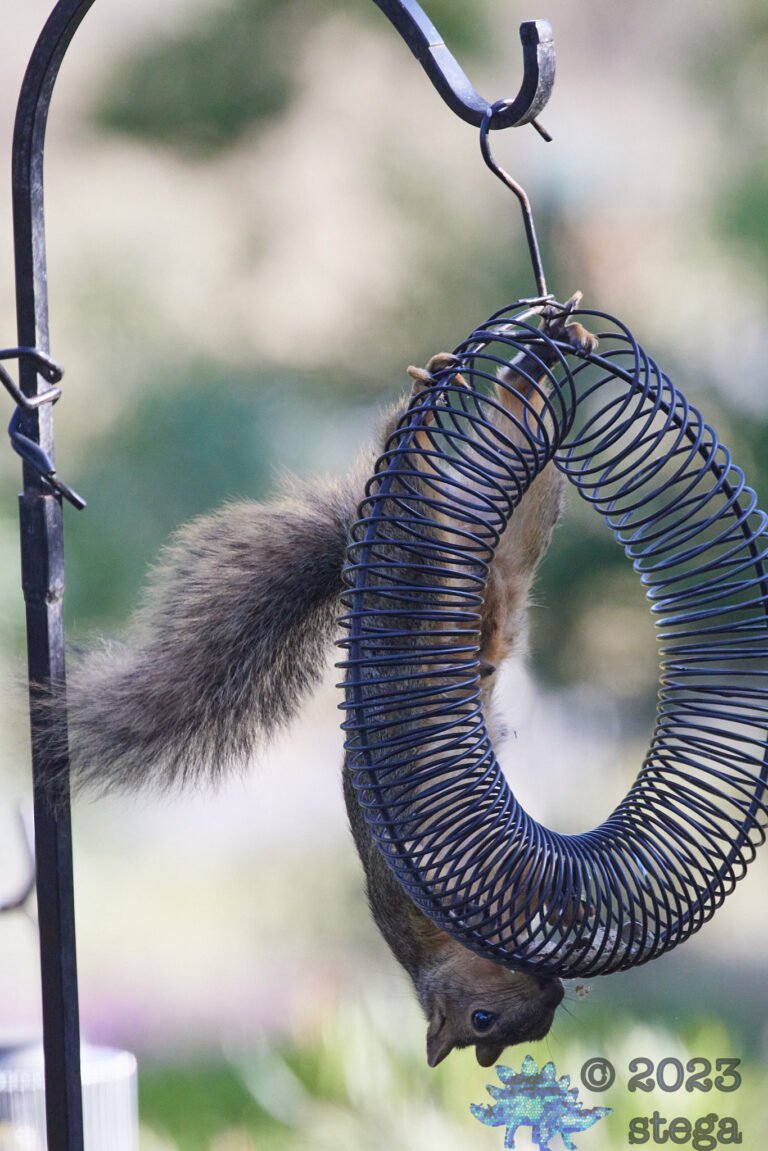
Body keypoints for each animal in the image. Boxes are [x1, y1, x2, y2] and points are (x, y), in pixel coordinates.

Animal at [49, 296, 597, 1067]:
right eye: (484, 1023)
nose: (549, 993)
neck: (434, 950)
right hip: (490, 548)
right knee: (509, 453)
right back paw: (520, 365)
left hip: (442, 552)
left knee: (447, 457)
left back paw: (512, 357)